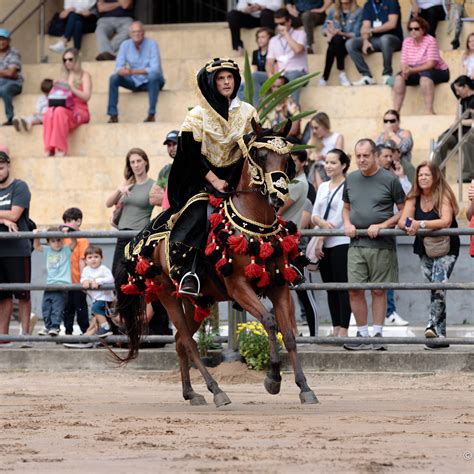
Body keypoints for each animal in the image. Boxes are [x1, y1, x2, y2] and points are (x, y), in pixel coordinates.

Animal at [115, 122, 318, 408]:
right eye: (260, 155)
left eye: (287, 159)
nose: (278, 196)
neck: (256, 227)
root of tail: (141, 239)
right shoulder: (238, 287)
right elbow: (269, 322)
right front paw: (273, 379)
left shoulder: (279, 286)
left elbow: (288, 335)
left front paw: (304, 387)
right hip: (167, 294)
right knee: (188, 342)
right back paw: (216, 390)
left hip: (196, 301)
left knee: (179, 341)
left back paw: (191, 393)